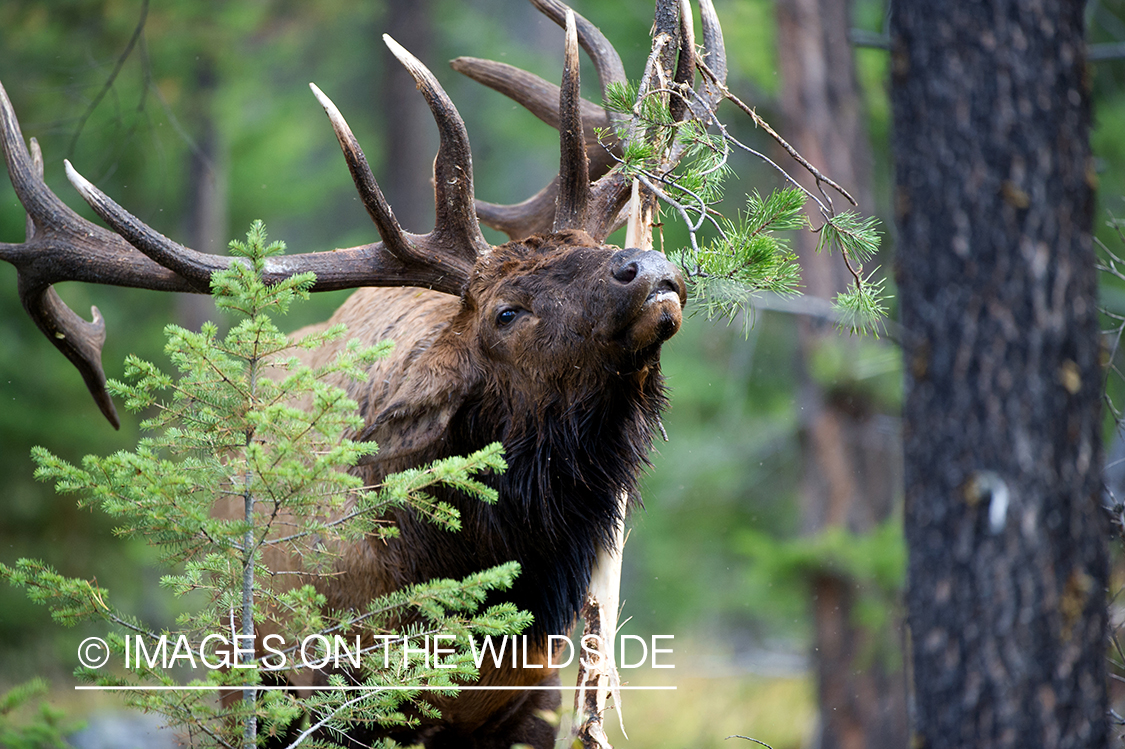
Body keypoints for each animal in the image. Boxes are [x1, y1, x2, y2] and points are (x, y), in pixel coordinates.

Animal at [0, 0, 726, 746]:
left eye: (594, 245)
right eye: (505, 312)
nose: (646, 266)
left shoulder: (539, 695)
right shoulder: (326, 686)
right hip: (235, 666)